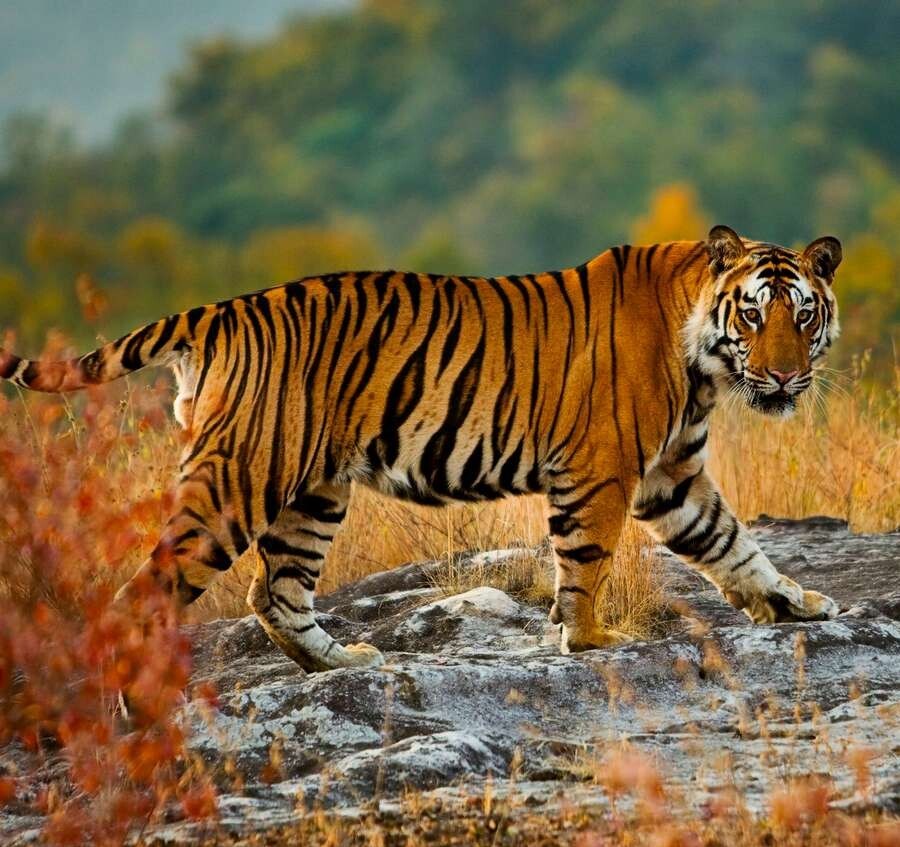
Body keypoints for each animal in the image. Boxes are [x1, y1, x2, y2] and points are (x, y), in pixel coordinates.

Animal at [0, 224, 843, 671]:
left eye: (802, 315)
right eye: (754, 313)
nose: (783, 375)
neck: (704, 362)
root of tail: (220, 310)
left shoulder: (672, 475)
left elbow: (734, 544)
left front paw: (794, 603)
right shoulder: (601, 471)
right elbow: (586, 564)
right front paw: (590, 639)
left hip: (313, 491)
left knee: (273, 592)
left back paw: (341, 662)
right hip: (237, 482)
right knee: (146, 593)